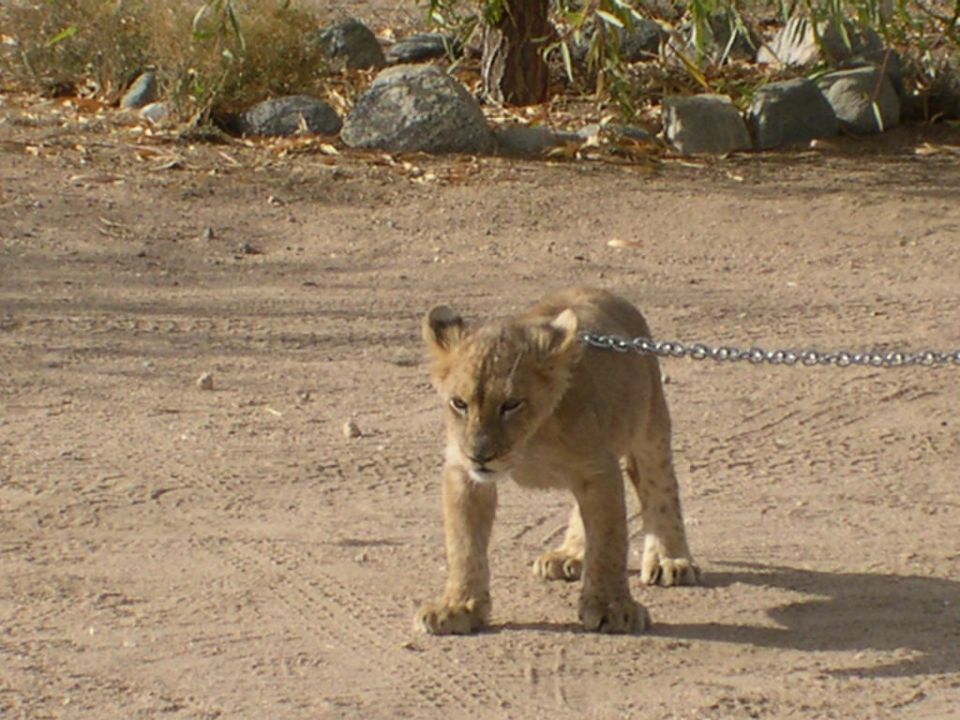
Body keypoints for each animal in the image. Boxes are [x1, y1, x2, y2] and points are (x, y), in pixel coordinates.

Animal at [414, 287, 700, 635]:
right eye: (459, 403)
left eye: (511, 404)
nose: (480, 456)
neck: (529, 440)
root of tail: (599, 290)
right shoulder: (463, 472)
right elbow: (463, 544)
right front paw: (458, 607)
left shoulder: (598, 469)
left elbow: (609, 542)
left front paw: (612, 607)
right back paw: (569, 555)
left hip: (650, 425)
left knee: (661, 487)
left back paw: (671, 560)